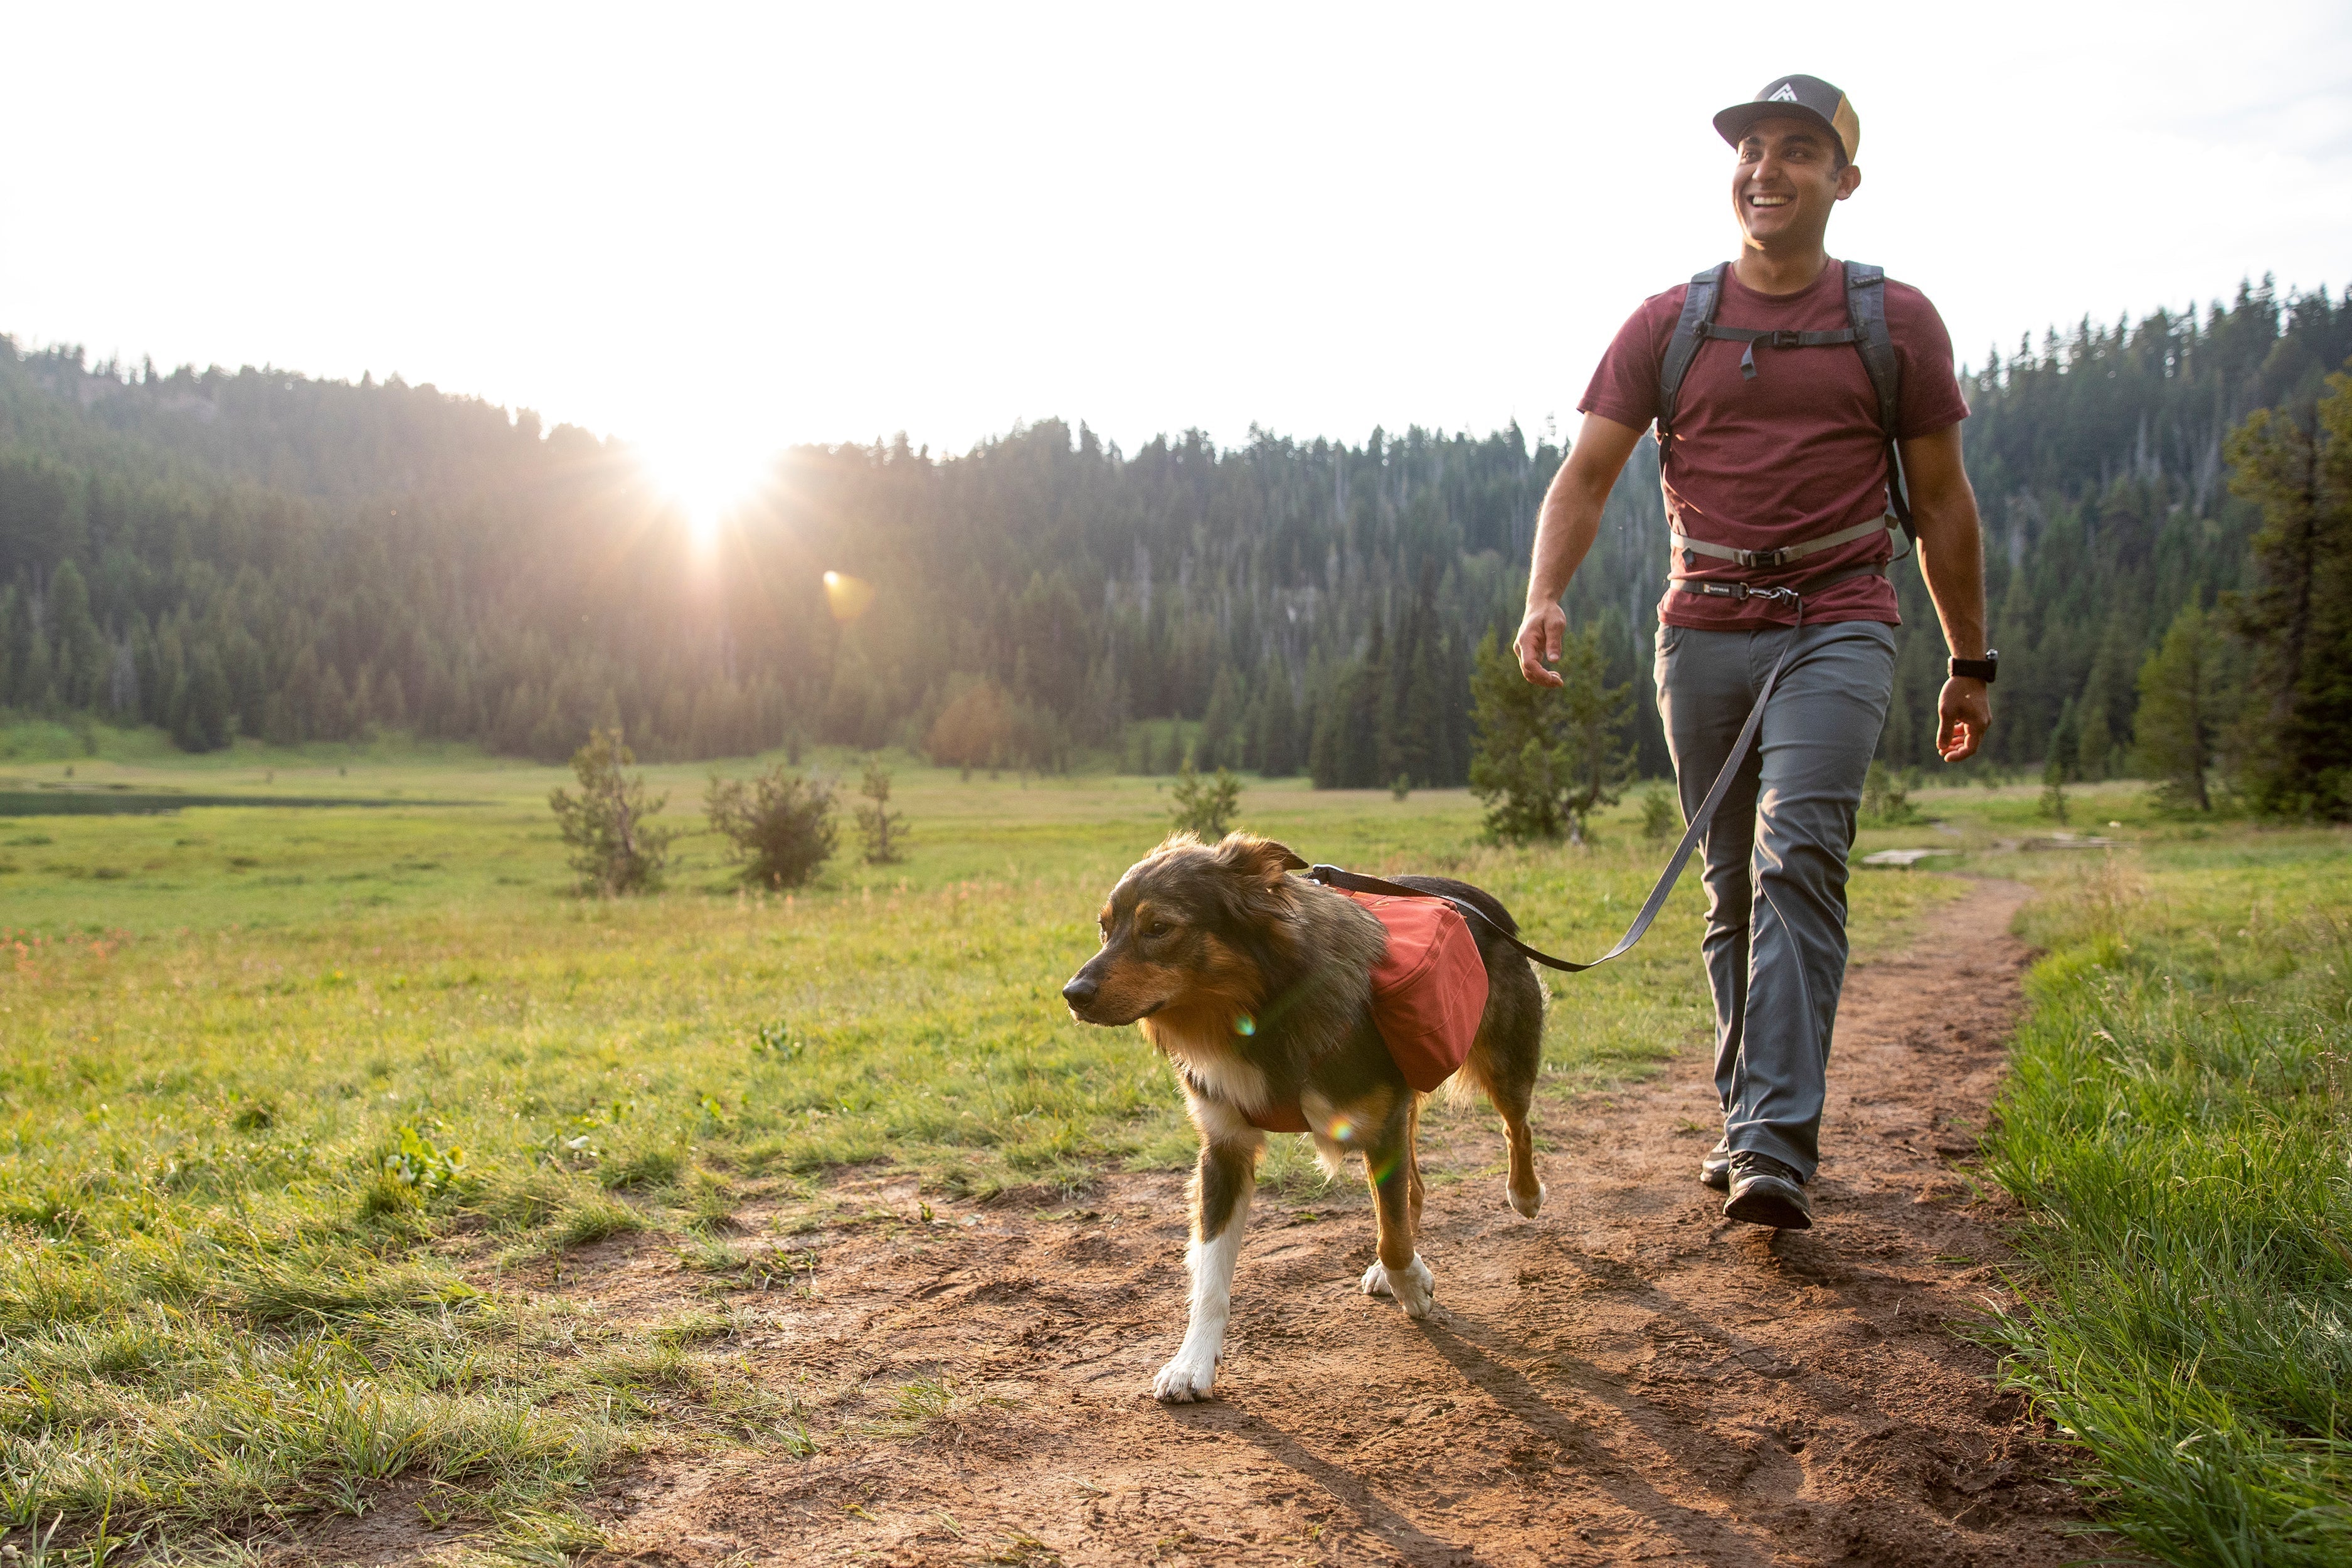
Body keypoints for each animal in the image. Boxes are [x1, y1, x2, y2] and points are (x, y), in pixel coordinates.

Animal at [1063, 832, 1543, 1401]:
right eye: (1104, 928)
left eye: (1158, 928)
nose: (1072, 994)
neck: (1257, 1014)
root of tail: (1475, 897)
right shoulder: (1224, 1149)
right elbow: (1210, 1274)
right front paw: (1193, 1362)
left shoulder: (1379, 1123)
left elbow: (1392, 1235)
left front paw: (1411, 1283)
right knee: (1416, 1187)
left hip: (1503, 1062)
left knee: (1517, 1127)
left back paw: (1524, 1194)